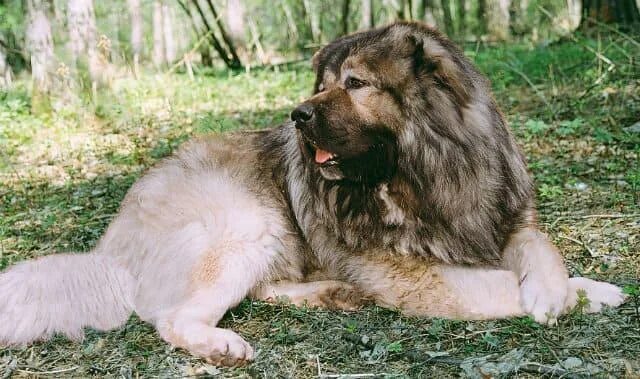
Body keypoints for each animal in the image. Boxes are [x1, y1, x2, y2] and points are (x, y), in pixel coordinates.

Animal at [0, 22, 624, 366]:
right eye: (321, 85)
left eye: (354, 84)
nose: (298, 116)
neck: (427, 175)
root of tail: (111, 251)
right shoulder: (414, 276)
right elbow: (499, 284)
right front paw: (576, 293)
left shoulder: (503, 218)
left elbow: (540, 247)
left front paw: (567, 287)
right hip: (251, 220)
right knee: (173, 319)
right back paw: (223, 345)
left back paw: (331, 294)